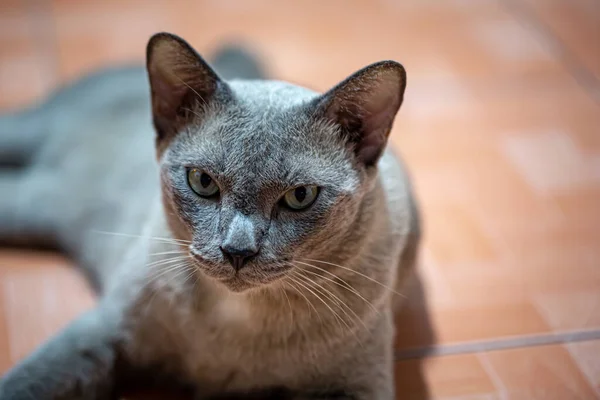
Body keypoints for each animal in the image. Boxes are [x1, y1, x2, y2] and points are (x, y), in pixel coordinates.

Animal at [0, 32, 422, 398]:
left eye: (299, 196)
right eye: (202, 181)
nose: (237, 251)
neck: (237, 322)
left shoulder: (356, 386)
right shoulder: (100, 335)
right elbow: (26, 383)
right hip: (31, 165)